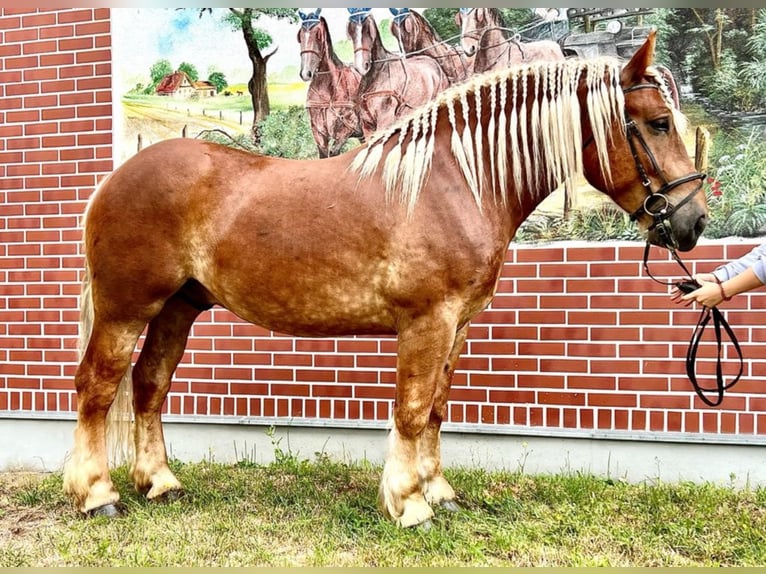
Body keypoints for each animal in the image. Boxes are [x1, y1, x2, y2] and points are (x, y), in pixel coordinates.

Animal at [64, 33, 708, 532]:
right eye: (657, 123)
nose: (694, 222)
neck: (457, 181)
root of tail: (112, 181)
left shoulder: (457, 325)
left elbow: (437, 408)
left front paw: (440, 493)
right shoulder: (427, 322)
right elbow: (413, 409)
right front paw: (410, 504)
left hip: (177, 308)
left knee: (148, 385)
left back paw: (161, 482)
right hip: (126, 309)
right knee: (97, 388)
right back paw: (97, 495)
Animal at [296, 9, 364, 158]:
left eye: (318, 34)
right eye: (300, 36)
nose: (305, 73)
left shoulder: (346, 129)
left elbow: (334, 154)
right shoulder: (318, 133)